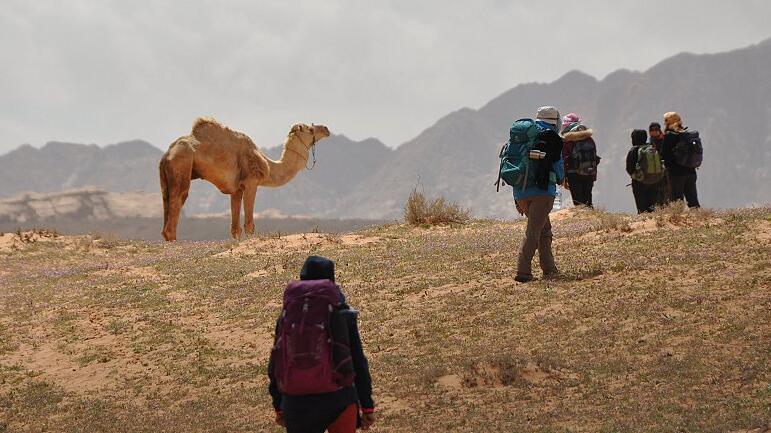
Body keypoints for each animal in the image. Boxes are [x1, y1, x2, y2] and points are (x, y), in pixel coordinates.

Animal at [161, 117, 330, 240]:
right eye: (310, 128)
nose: (326, 129)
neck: (269, 166)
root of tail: (168, 154)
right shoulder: (251, 183)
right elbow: (249, 224)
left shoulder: (236, 190)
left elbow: (235, 228)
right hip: (182, 164)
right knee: (179, 200)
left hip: (166, 178)